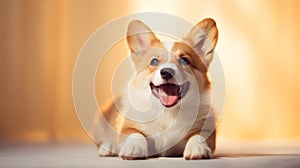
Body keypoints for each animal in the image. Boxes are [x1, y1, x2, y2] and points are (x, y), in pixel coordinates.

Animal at [92, 17, 218, 159]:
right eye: (154, 61)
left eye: (185, 60)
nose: (167, 72)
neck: (168, 113)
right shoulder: (128, 127)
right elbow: (135, 134)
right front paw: (133, 147)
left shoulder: (206, 128)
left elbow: (198, 136)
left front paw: (198, 148)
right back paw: (108, 148)